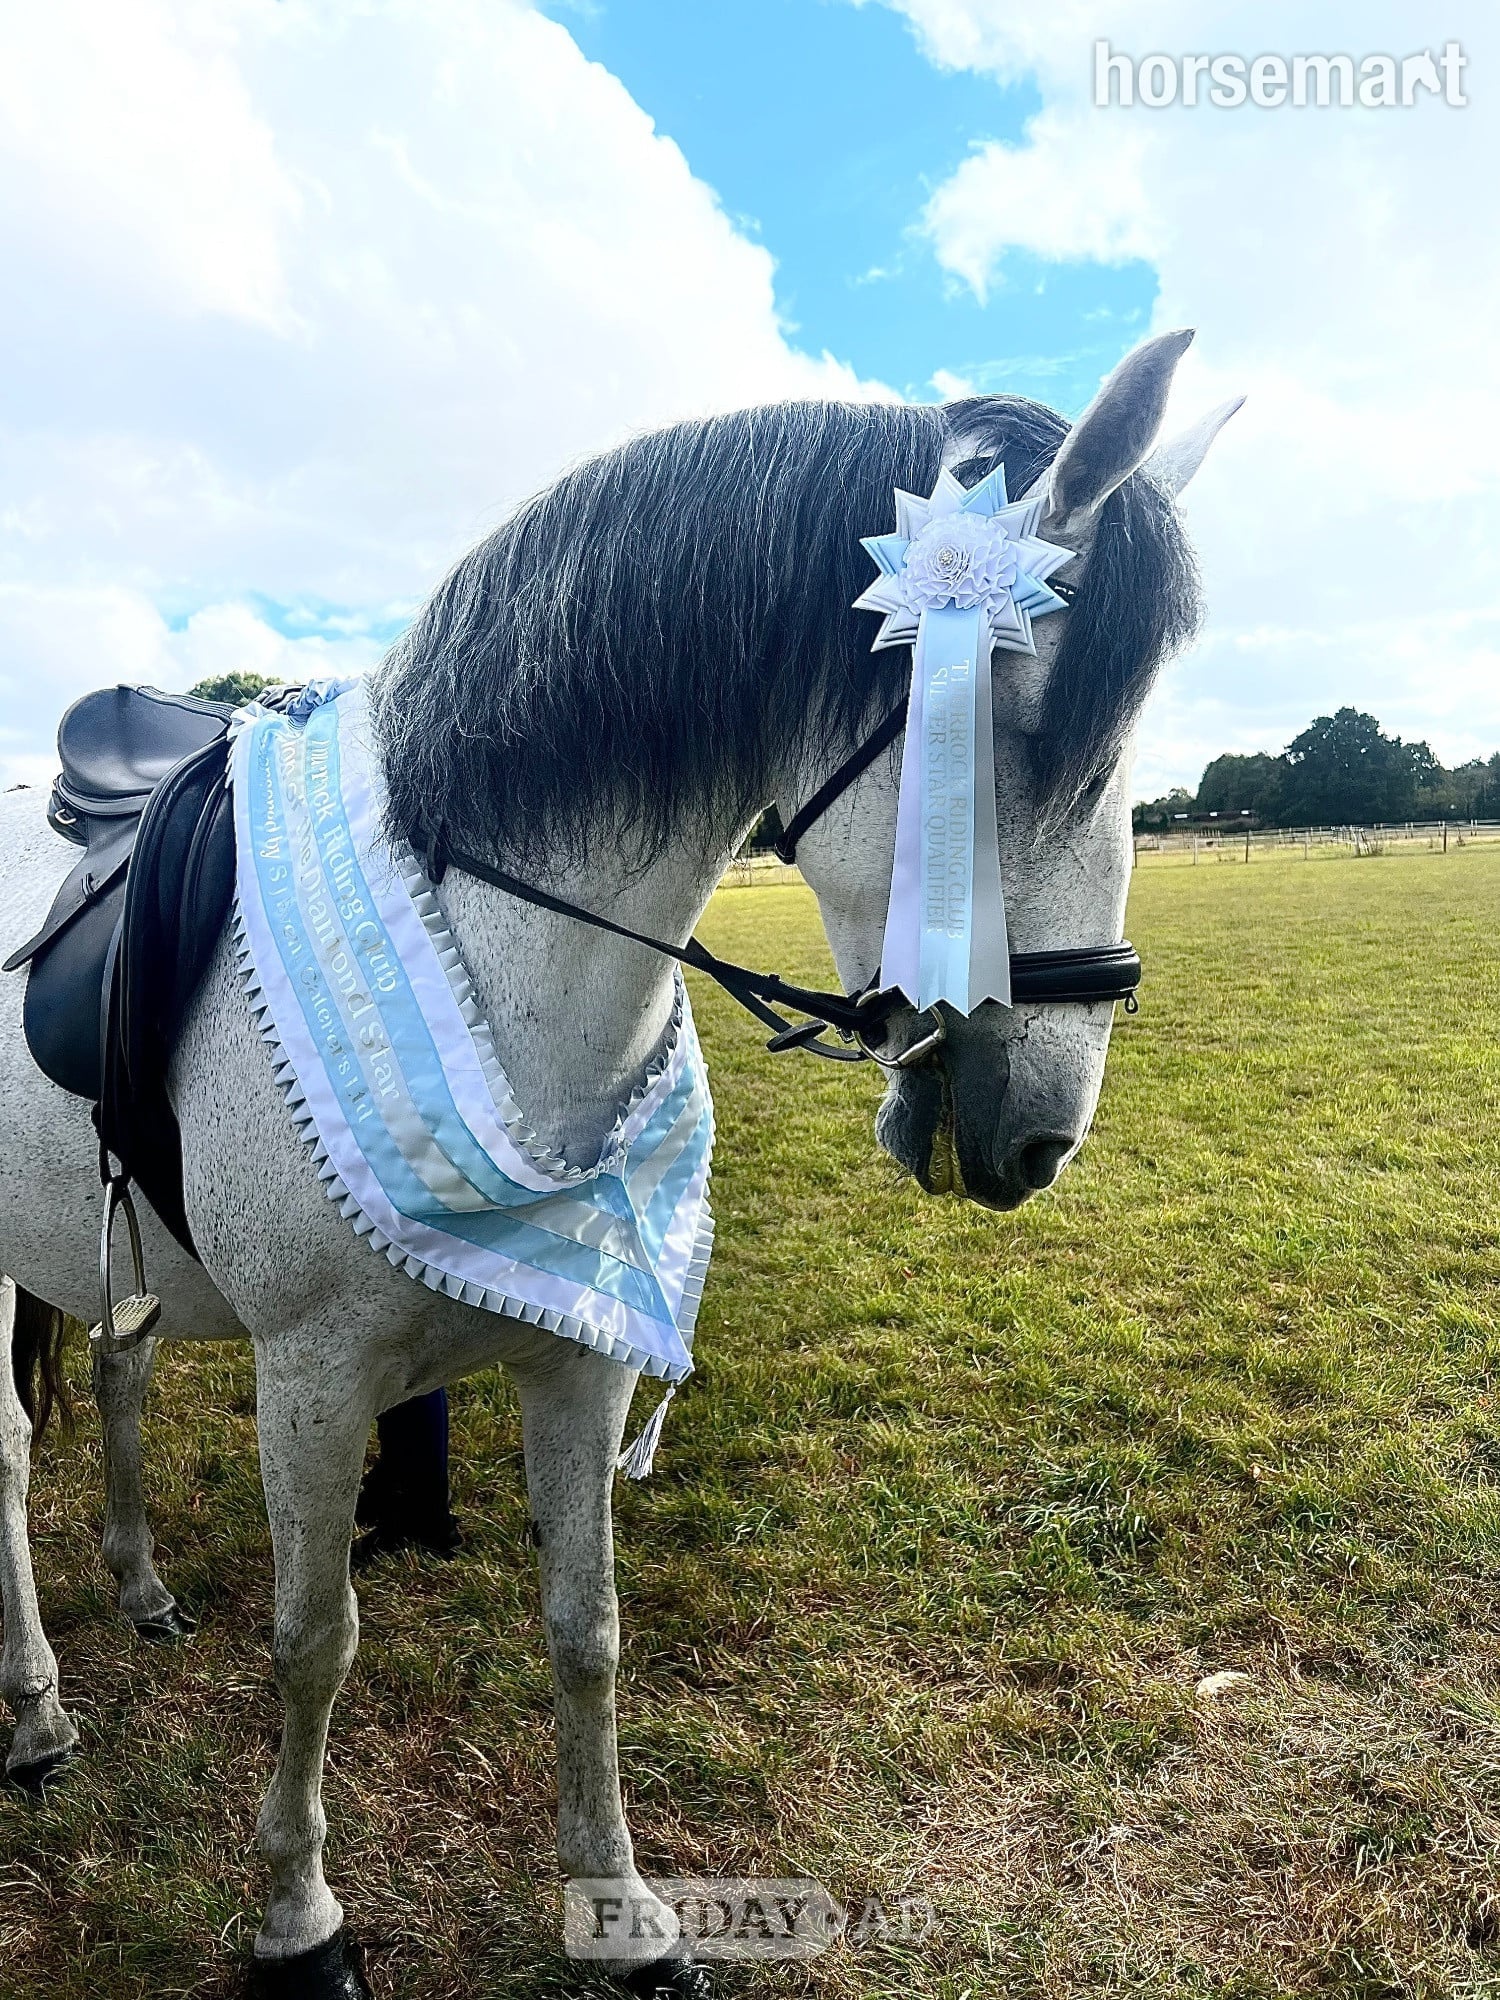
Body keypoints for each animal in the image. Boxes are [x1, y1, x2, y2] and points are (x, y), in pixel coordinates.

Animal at [0, 327, 1235, 1996]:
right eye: (1018, 726)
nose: (1040, 1134)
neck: (497, 941)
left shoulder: (578, 1356)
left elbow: (586, 1634)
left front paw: (628, 1915)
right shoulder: (313, 1377)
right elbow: (315, 1644)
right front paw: (298, 1924)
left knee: (115, 1373)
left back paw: (136, 1590)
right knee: (9, 1462)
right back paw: (38, 1716)